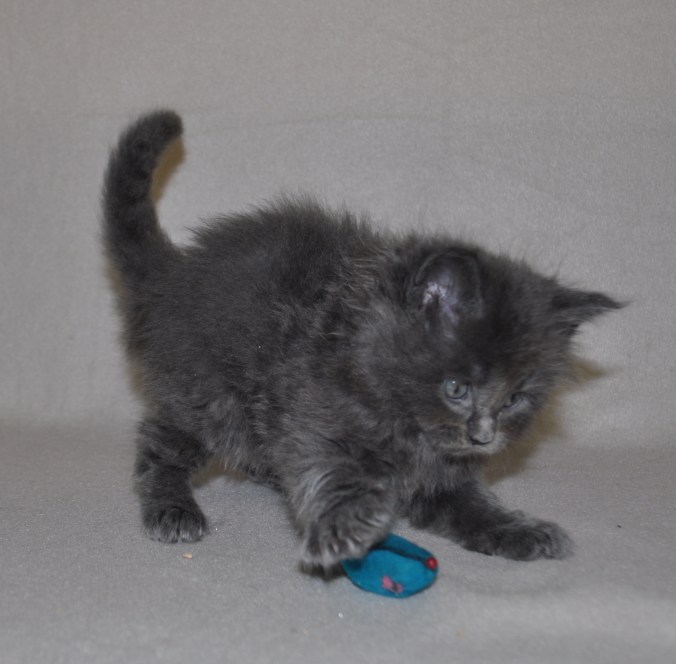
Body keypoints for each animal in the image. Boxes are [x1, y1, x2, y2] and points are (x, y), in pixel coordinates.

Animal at [102, 110, 621, 569]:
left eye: (514, 399)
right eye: (456, 388)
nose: (483, 436)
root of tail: (173, 274)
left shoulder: (442, 474)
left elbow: (472, 504)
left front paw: (519, 530)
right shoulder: (311, 414)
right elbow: (327, 472)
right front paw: (344, 528)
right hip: (207, 396)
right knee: (158, 442)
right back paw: (172, 508)